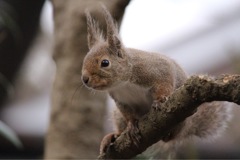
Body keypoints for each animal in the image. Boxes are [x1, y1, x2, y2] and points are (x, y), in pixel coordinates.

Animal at [81, 6, 232, 159]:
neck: (123, 84)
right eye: (84, 61)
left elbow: (164, 82)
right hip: (117, 115)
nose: (85, 79)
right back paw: (113, 136)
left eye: (105, 63)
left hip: (181, 120)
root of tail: (188, 128)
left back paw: (168, 134)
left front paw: (159, 100)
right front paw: (131, 126)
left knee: (170, 138)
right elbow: (128, 114)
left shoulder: (156, 70)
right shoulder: (120, 100)